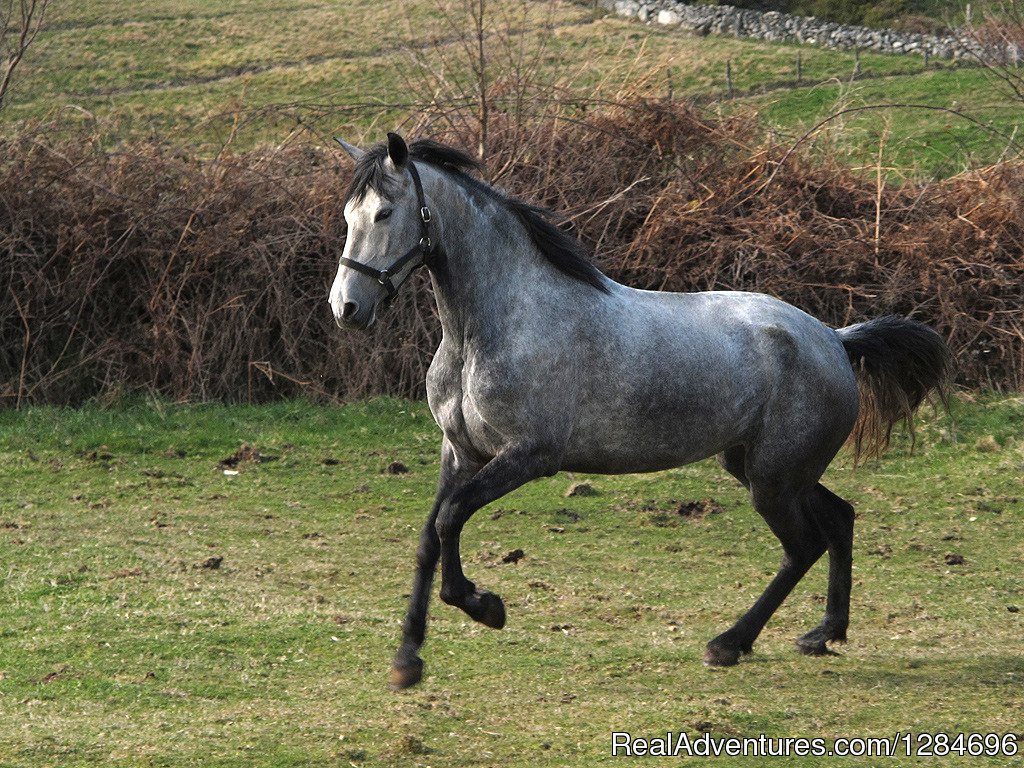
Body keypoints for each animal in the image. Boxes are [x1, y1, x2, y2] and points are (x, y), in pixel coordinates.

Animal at [327, 131, 950, 692]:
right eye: (348, 216)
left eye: (384, 212)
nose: (346, 308)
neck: (494, 326)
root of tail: (834, 339)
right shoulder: (459, 452)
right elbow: (430, 537)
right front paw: (407, 660)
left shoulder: (529, 456)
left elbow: (452, 518)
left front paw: (485, 606)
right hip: (763, 467)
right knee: (840, 518)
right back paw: (824, 634)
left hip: (774, 477)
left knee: (804, 547)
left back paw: (729, 643)